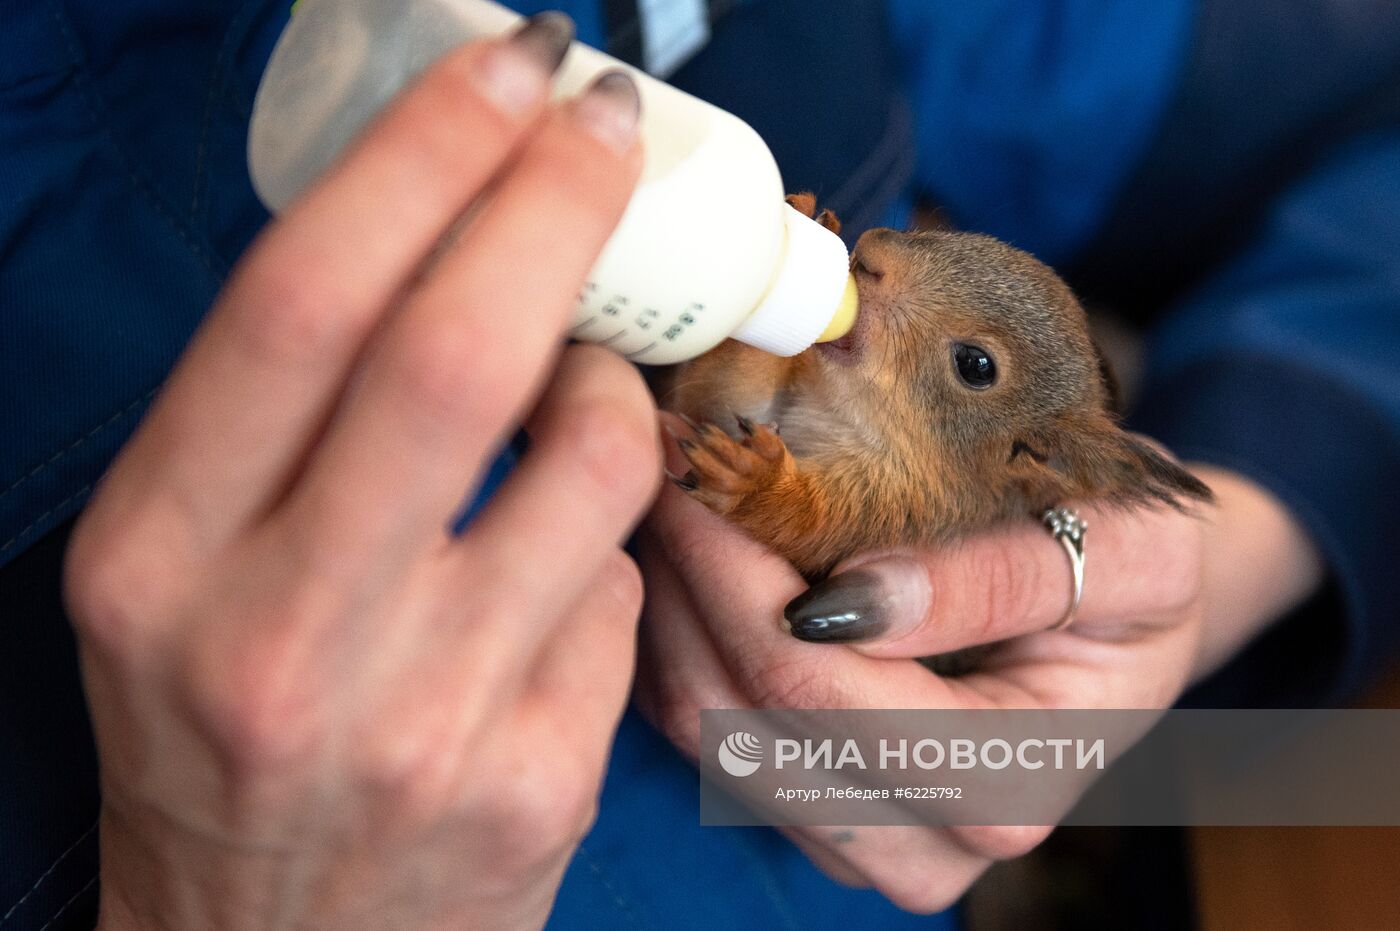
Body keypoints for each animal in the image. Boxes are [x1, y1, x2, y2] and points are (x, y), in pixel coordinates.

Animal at [660, 191, 1209, 576]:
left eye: (976, 366)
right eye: (963, 237)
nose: (872, 250)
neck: (844, 409)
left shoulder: (897, 514)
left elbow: (808, 529)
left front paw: (753, 480)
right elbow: (720, 395)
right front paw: (804, 230)